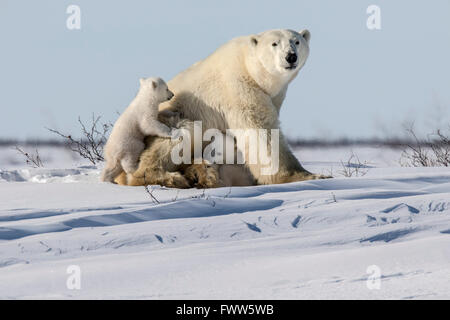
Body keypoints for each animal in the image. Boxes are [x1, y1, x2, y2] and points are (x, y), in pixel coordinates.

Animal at [116, 29, 326, 188]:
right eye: (274, 44)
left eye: (297, 41)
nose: (291, 57)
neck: (250, 67)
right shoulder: (237, 87)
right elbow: (261, 131)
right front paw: (309, 176)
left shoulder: (275, 96)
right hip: (162, 122)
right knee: (183, 133)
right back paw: (174, 178)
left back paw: (202, 174)